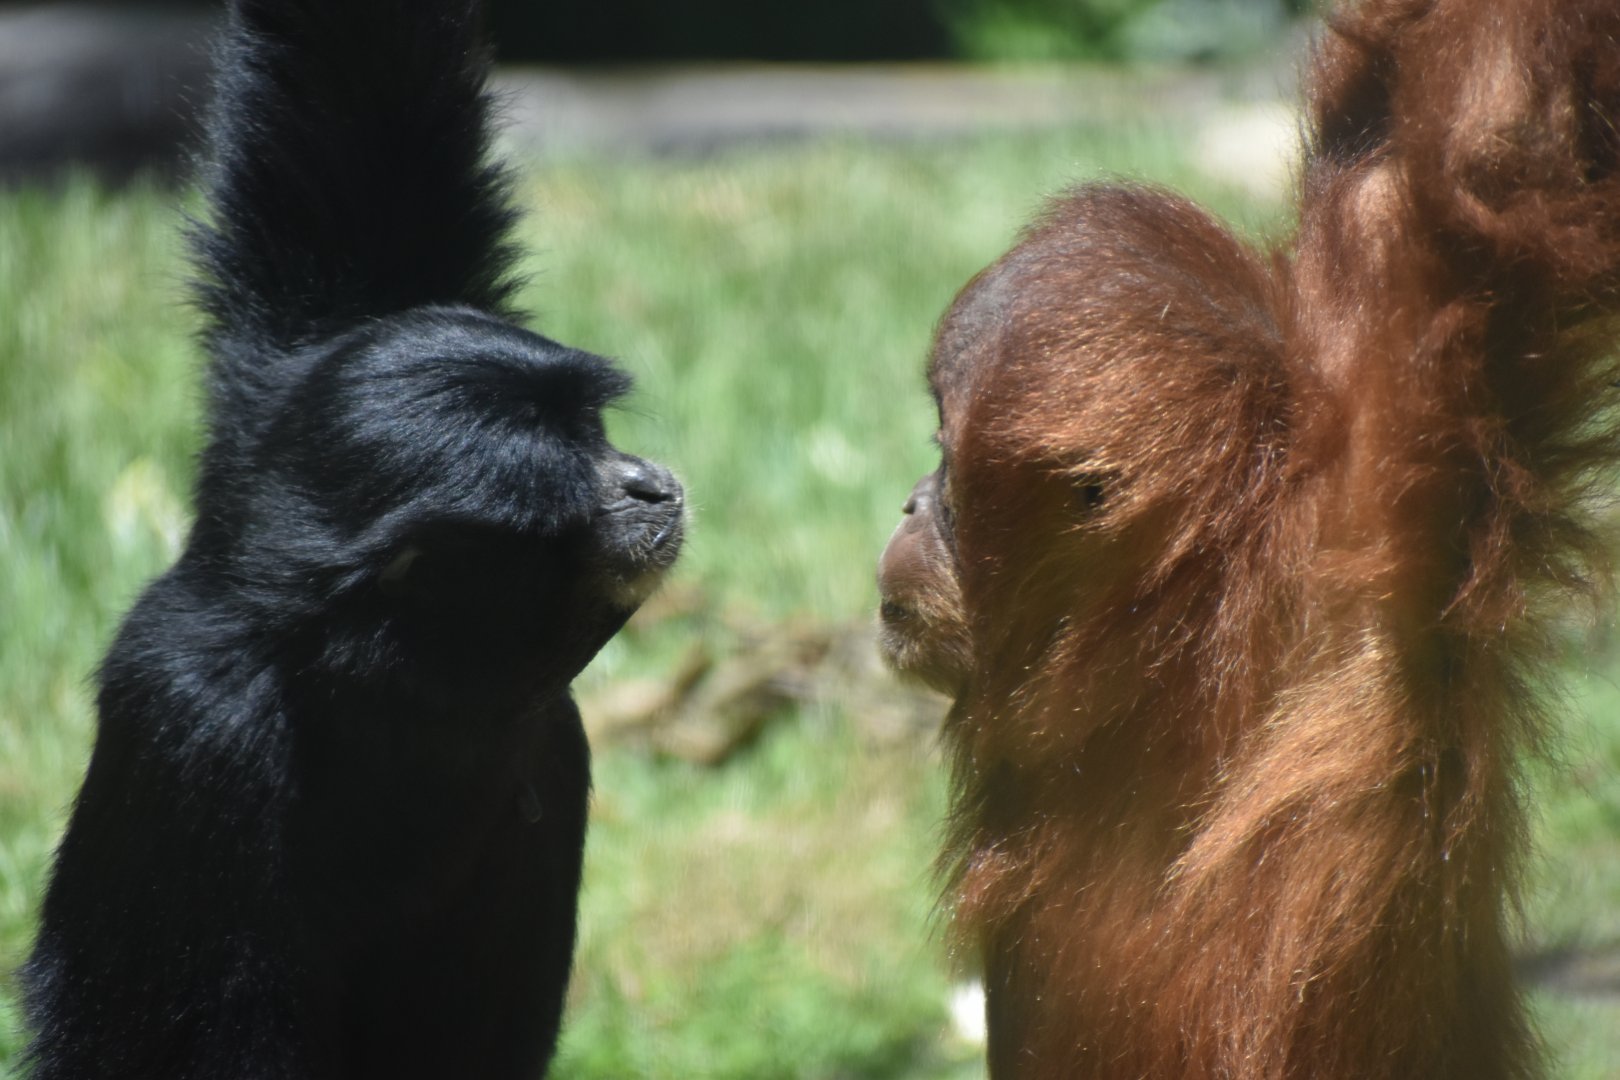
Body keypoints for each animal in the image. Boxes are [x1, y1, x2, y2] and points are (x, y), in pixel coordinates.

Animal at [878, 0, 1620, 1076]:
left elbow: (1496, 129)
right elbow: (1434, 137)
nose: (904, 503)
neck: (1163, 636)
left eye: (944, 466)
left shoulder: (1381, 536)